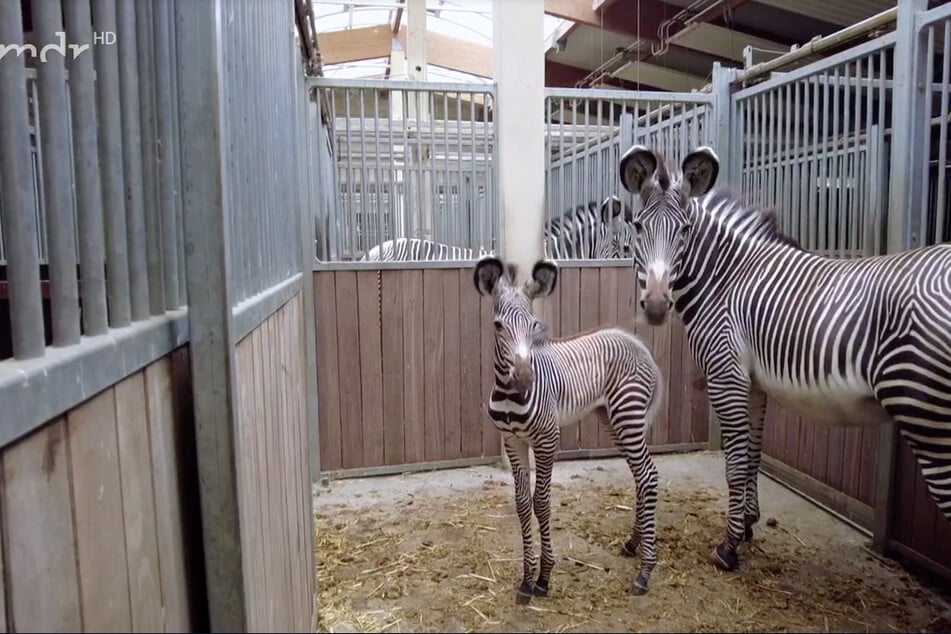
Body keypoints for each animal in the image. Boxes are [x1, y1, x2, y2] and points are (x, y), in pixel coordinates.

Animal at [472, 253, 664, 604]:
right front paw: (526, 580)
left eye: (533, 324)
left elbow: (541, 503)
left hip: (628, 416)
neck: (509, 395)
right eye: (498, 326)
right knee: (643, 475)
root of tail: (636, 342)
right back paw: (633, 545)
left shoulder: (547, 440)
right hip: (613, 419)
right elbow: (522, 504)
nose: (524, 379)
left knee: (648, 476)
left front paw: (544, 577)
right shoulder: (513, 442)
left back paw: (645, 572)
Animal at [616, 142, 951, 572]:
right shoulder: (755, 383)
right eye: (640, 227)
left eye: (686, 231)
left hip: (927, 418)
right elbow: (753, 454)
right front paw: (747, 525)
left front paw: (728, 547)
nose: (657, 306)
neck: (725, 280)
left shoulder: (725, 376)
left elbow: (735, 461)